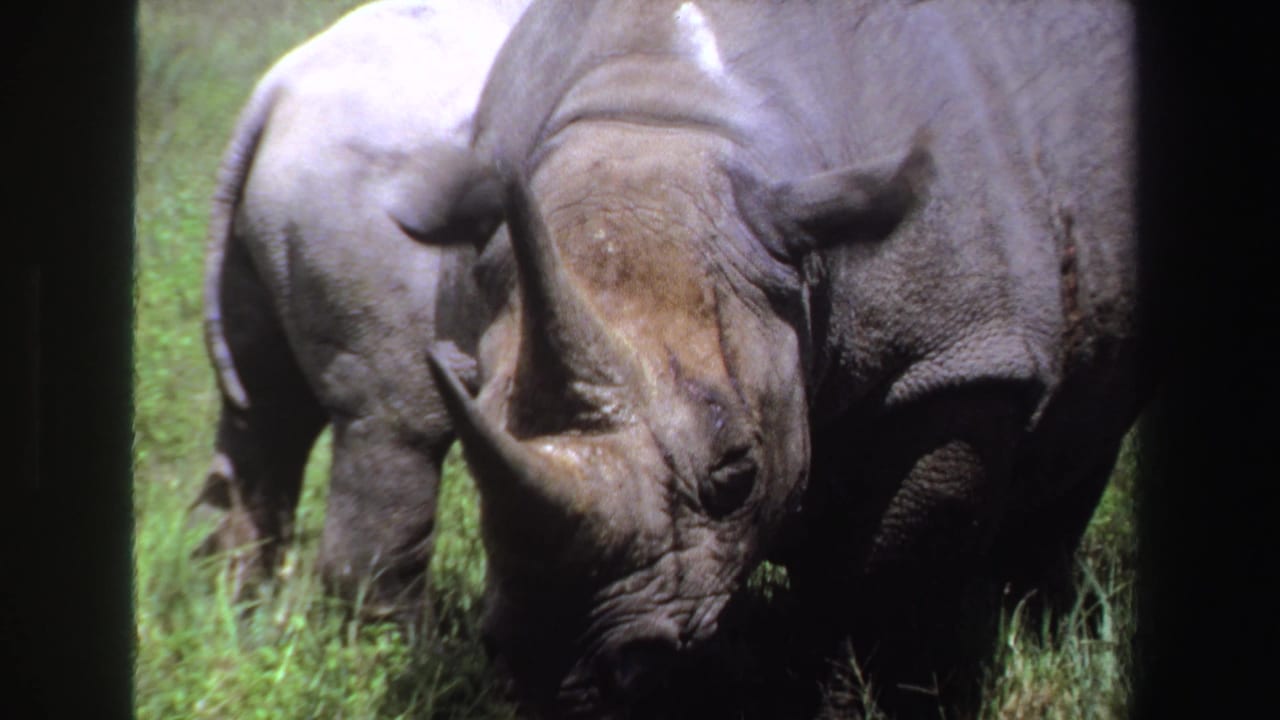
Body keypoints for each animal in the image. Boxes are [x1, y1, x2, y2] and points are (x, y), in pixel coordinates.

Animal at [190, 0, 529, 625]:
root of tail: (275, 93)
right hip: (372, 223)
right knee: (400, 422)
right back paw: (409, 637)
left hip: (262, 235)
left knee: (265, 410)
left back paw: (237, 613)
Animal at [426, 0, 1147, 714]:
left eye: (737, 475)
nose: (560, 676)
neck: (661, 111)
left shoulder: (954, 362)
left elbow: (885, 586)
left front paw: (867, 699)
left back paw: (1040, 621)